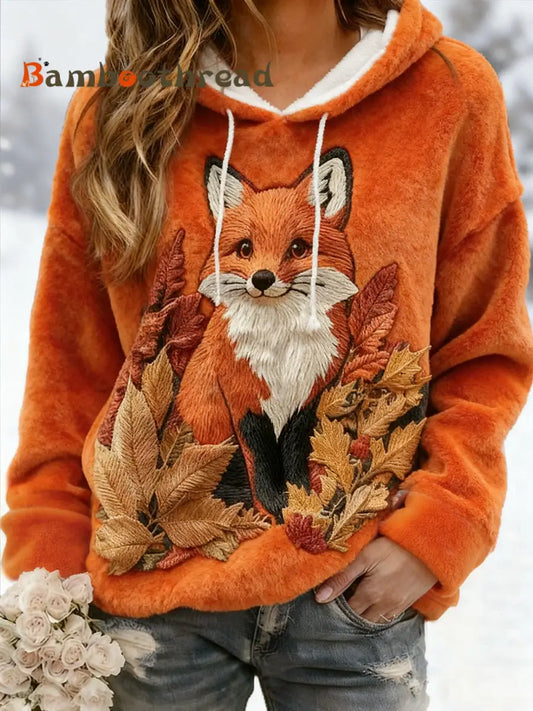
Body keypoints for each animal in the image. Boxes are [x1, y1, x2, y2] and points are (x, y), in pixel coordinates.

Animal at [177, 147, 359, 517]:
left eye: (298, 248)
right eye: (245, 249)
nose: (262, 278)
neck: (281, 347)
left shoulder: (306, 398)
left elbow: (292, 454)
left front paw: (300, 497)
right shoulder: (243, 400)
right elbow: (260, 460)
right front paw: (273, 505)